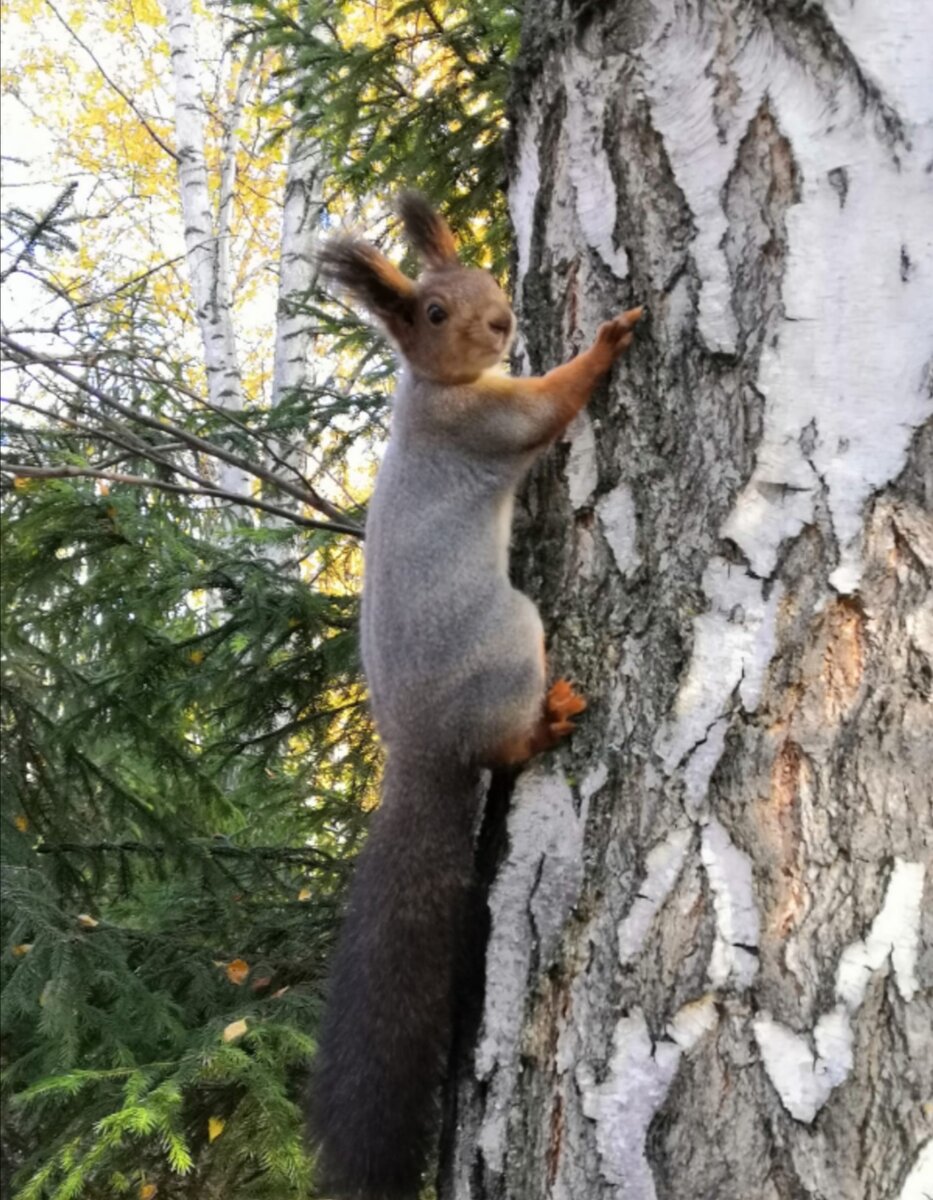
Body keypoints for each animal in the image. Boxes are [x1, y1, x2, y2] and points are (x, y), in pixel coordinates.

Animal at [307, 192, 637, 1195]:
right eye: (433, 311)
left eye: (487, 277)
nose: (500, 322)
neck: (429, 390)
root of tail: (419, 752)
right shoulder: (489, 424)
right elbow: (553, 402)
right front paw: (608, 339)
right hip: (511, 639)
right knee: (504, 745)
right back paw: (548, 720)